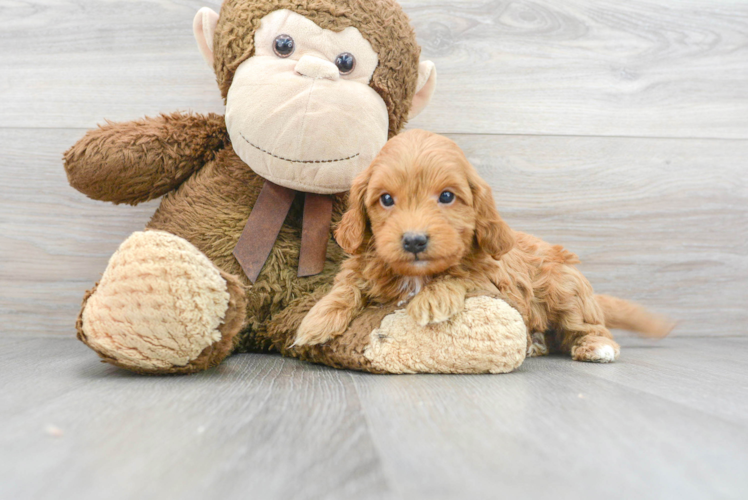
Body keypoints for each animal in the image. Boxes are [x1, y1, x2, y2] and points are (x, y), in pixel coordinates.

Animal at [294, 131, 672, 362]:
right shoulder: (362, 264)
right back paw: (535, 343)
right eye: (386, 199)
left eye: (447, 196)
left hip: (566, 289)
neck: (416, 275)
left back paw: (597, 346)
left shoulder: (493, 280)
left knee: (588, 325)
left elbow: (461, 274)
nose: (414, 240)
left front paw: (432, 299)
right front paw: (317, 320)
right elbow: (347, 285)